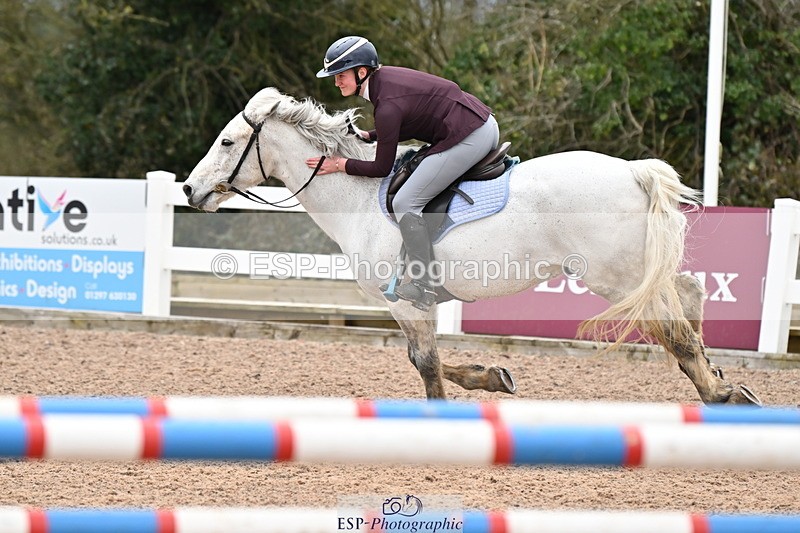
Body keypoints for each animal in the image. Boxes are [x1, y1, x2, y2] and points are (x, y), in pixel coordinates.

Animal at [182, 87, 760, 406]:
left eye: (228, 142)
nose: (189, 190)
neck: (359, 197)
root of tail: (633, 171)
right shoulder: (416, 303)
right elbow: (434, 360)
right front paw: (494, 376)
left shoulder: (405, 302)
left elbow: (426, 363)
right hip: (639, 269)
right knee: (690, 295)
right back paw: (720, 380)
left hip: (614, 277)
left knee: (674, 330)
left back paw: (720, 391)